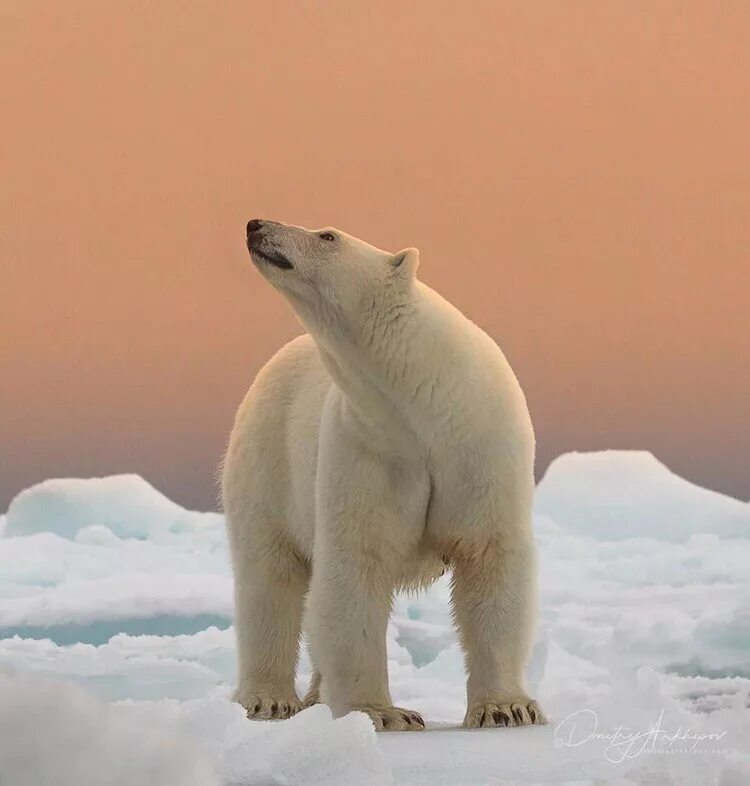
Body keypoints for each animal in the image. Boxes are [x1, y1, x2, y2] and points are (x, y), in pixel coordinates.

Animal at [223, 219, 548, 728]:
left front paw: (507, 708)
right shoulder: (369, 449)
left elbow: (490, 558)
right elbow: (356, 566)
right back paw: (269, 699)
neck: (425, 406)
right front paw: (383, 713)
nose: (256, 224)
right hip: (267, 461)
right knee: (269, 579)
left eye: (327, 235)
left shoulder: (481, 447)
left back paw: (313, 697)